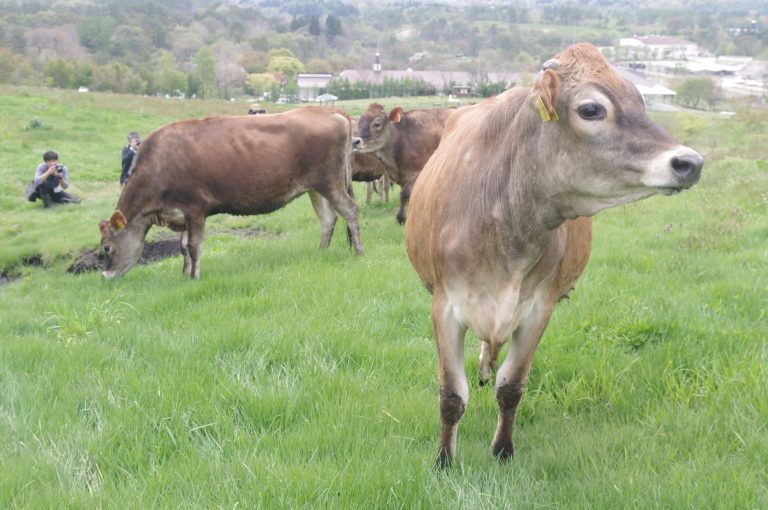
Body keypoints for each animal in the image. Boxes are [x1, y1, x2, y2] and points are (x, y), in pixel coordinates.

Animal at [100, 107, 364, 280]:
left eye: (107, 248)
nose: (105, 275)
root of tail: (330, 112)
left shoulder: (195, 208)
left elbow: (194, 246)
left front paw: (194, 278)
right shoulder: (180, 213)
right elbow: (183, 247)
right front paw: (184, 274)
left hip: (330, 181)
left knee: (350, 210)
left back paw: (359, 251)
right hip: (315, 187)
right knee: (328, 219)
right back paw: (321, 252)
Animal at [404, 42, 704, 466]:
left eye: (640, 101)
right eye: (591, 109)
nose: (690, 162)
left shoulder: (537, 308)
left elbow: (511, 387)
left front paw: (503, 450)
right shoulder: (444, 305)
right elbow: (451, 396)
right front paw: (444, 461)